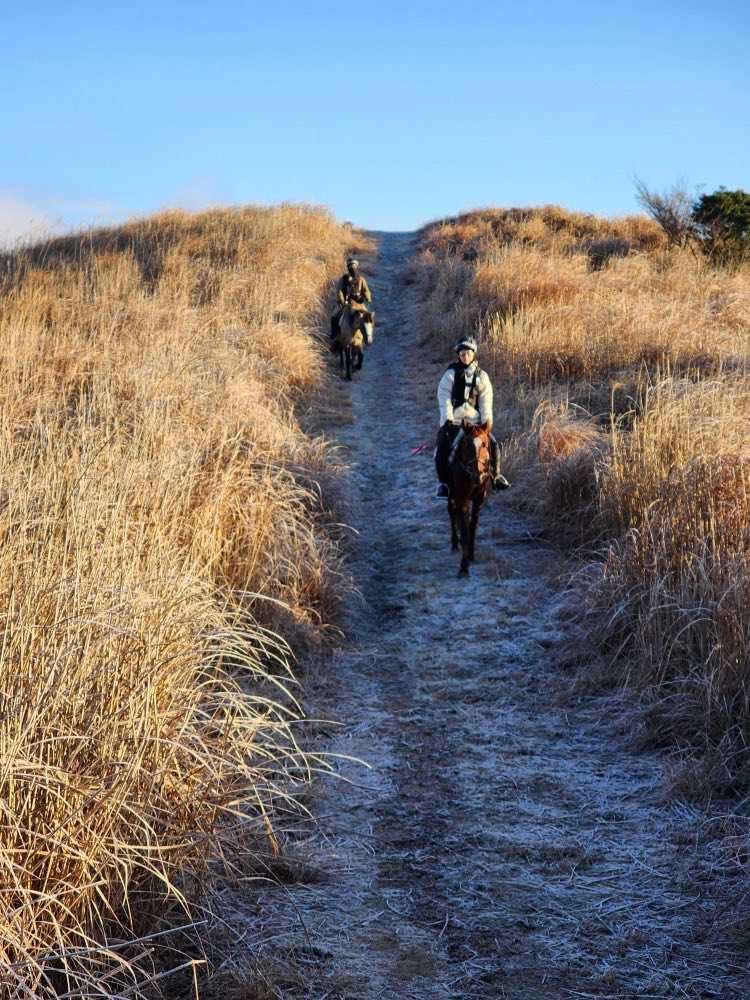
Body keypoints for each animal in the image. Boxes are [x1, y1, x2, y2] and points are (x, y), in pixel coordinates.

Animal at [446, 420, 492, 577]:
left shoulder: (480, 497)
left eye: (484, 444)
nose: (477, 475)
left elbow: (473, 525)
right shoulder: (461, 498)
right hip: (450, 492)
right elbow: (465, 531)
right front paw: (463, 567)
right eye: (467, 444)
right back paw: (454, 543)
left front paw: (471, 555)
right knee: (452, 512)